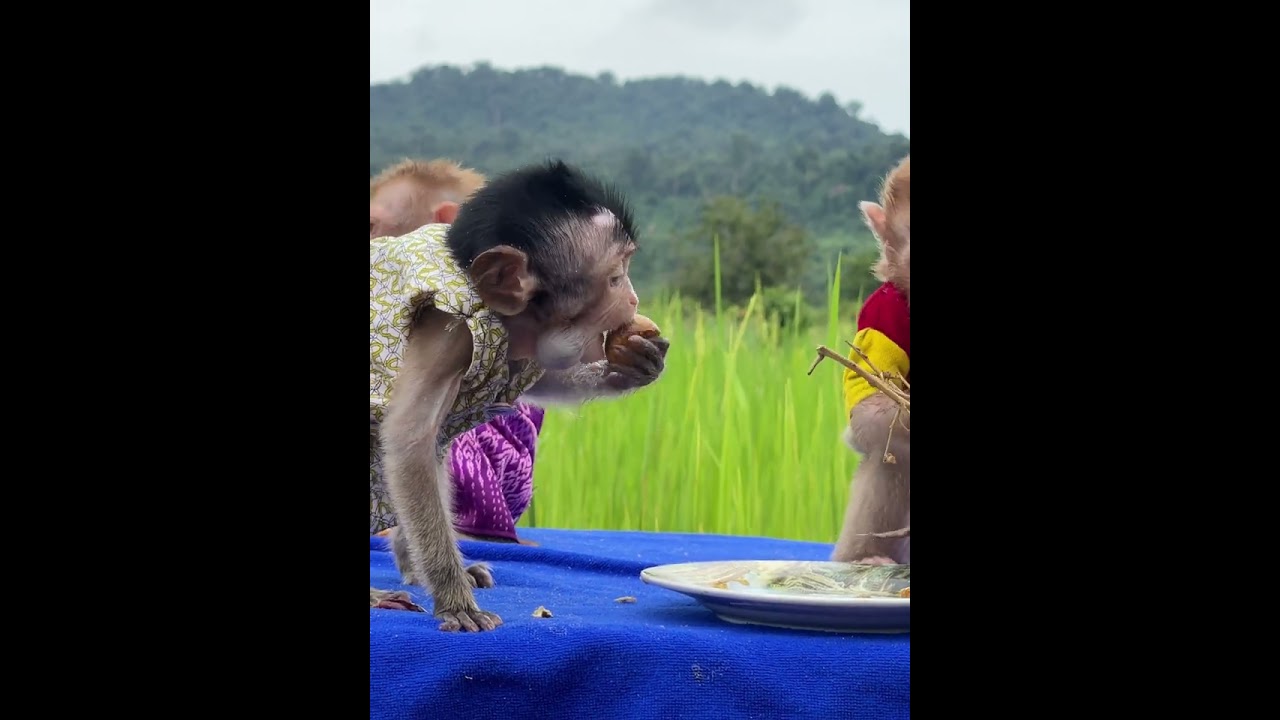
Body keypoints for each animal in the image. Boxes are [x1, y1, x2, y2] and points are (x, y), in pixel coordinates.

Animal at [369, 160, 669, 631]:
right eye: (616, 278)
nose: (634, 299)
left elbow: (540, 378)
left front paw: (631, 365)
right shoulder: (447, 335)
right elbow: (407, 441)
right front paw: (453, 596)